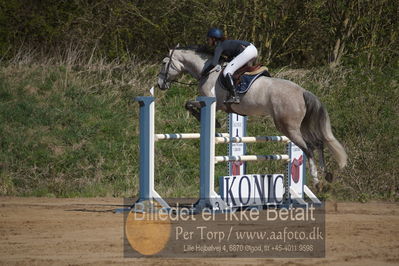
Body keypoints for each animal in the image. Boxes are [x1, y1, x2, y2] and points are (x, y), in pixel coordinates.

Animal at [158, 45, 348, 184]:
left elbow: (189, 104)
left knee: (308, 147)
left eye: (164, 63)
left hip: (288, 128)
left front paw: (214, 123)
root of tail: (302, 91)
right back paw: (326, 174)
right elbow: (189, 104)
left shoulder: (212, 102)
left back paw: (316, 179)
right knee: (318, 143)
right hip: (300, 126)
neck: (208, 71)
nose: (160, 84)